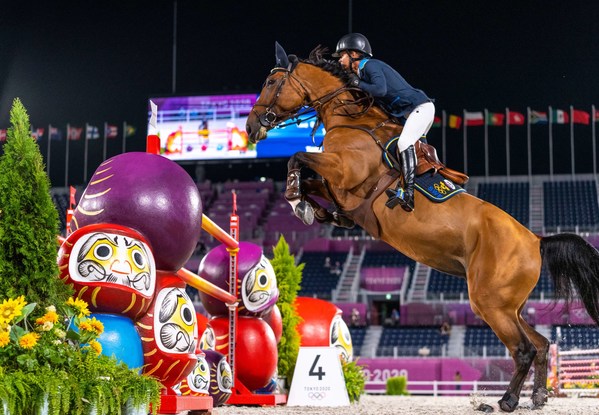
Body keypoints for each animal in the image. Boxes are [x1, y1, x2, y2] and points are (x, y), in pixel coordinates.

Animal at [245, 43, 599, 412]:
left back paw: (507, 400)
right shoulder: (339, 189)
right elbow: (312, 182)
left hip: (489, 303)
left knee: (523, 349)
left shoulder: (343, 172)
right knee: (541, 344)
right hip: (508, 306)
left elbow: (298, 157)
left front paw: (295, 197)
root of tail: (536, 240)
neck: (350, 120)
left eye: (271, 82)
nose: (251, 127)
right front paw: (313, 209)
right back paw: (539, 396)